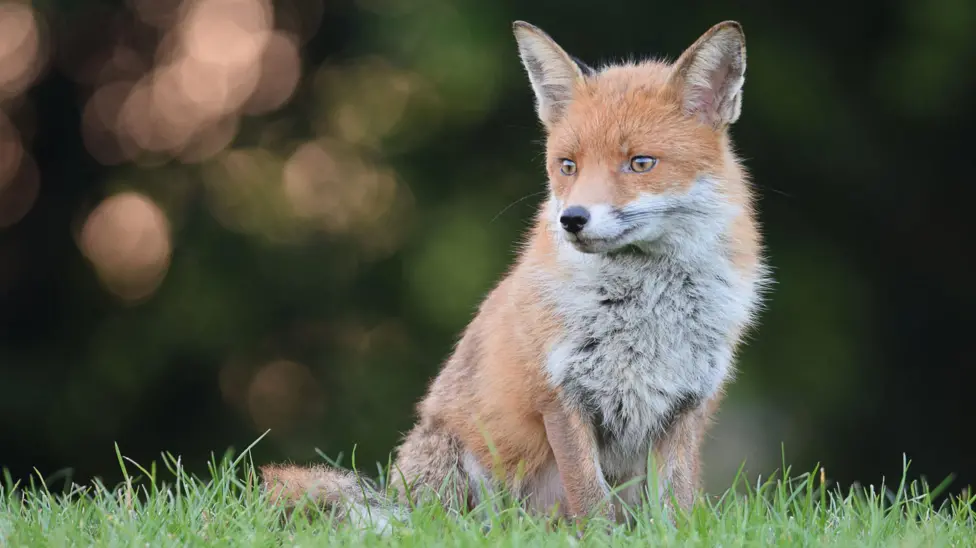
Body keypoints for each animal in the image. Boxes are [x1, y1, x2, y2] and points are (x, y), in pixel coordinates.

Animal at [261, 19, 768, 531]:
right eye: (568, 166)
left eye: (640, 163)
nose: (572, 219)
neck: (646, 307)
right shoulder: (559, 396)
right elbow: (591, 501)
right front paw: (599, 536)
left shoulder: (688, 403)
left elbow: (674, 508)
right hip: (463, 477)